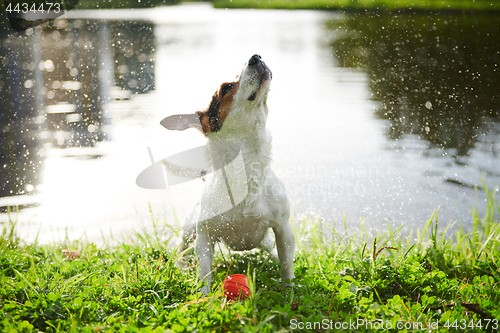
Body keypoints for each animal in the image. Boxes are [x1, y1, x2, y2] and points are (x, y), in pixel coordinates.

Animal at [160, 54, 294, 294]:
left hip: (266, 240)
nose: (256, 56)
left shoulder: (283, 229)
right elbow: (204, 272)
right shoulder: (204, 237)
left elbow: (286, 265)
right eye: (226, 88)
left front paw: (289, 292)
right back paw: (181, 266)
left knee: (271, 250)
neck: (247, 168)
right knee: (180, 248)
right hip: (190, 228)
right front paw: (203, 297)